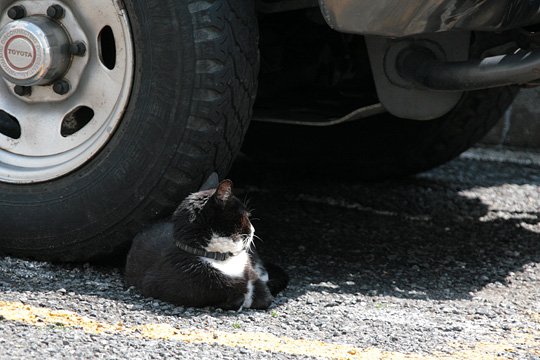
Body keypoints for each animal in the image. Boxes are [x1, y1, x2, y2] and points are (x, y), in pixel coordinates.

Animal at [125, 177, 288, 310]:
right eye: (244, 216)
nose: (254, 230)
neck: (220, 258)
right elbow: (233, 297)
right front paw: (238, 299)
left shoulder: (249, 272)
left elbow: (265, 296)